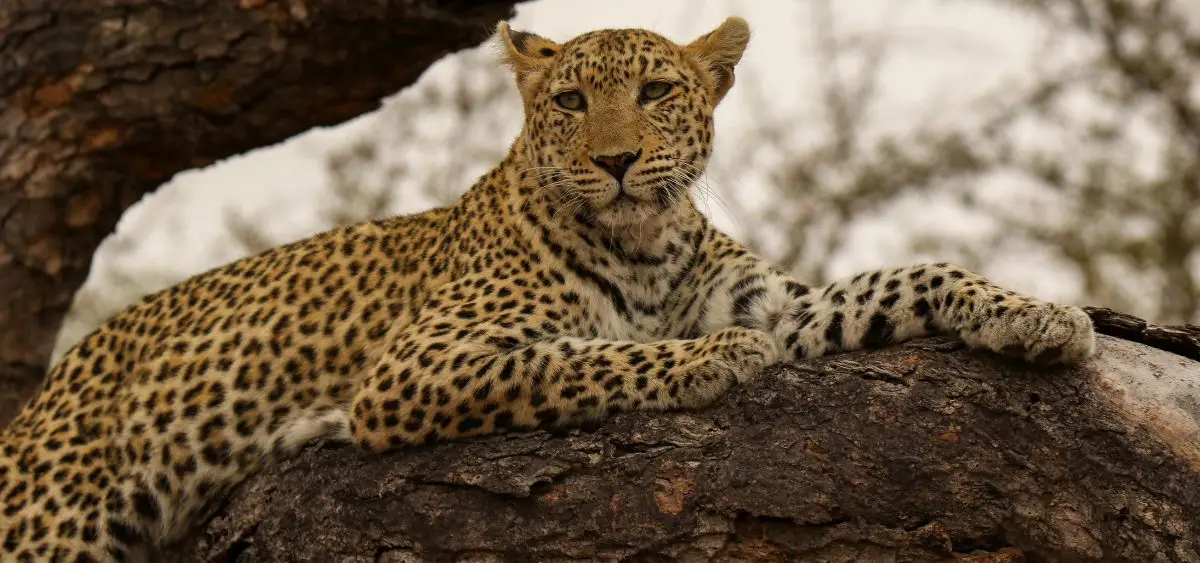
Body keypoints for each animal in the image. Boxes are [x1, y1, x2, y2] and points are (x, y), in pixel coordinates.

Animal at [0, 17, 1096, 562]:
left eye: (657, 92)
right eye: (569, 100)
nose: (614, 161)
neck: (644, 239)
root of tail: (42, 398)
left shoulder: (781, 302)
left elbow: (904, 275)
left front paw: (1041, 313)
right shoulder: (416, 367)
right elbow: (583, 357)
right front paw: (709, 359)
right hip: (54, 527)